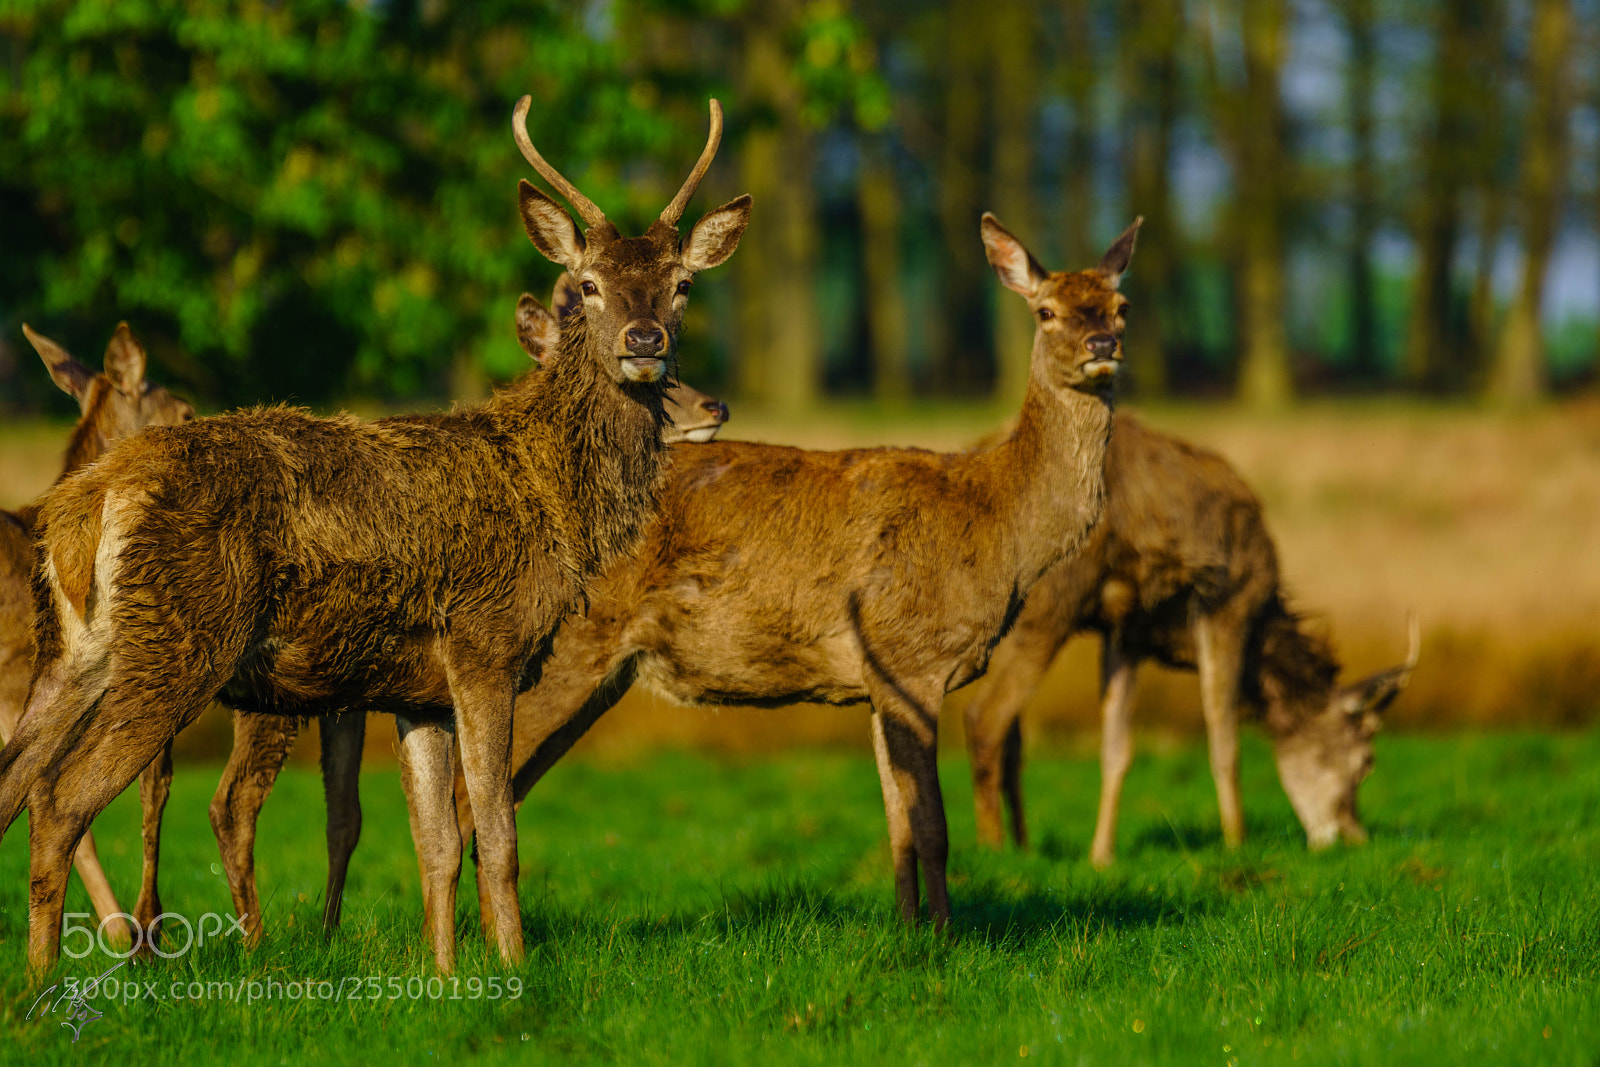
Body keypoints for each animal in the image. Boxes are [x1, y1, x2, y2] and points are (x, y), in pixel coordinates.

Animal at [959, 413, 1420, 867]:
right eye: (1366, 761)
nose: (1353, 838)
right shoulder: (1227, 606)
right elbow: (1223, 734)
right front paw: (1236, 840)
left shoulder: (1127, 632)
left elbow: (1116, 747)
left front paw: (1101, 855)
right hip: (1053, 604)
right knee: (985, 718)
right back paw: (992, 847)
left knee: (1012, 735)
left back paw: (1024, 845)